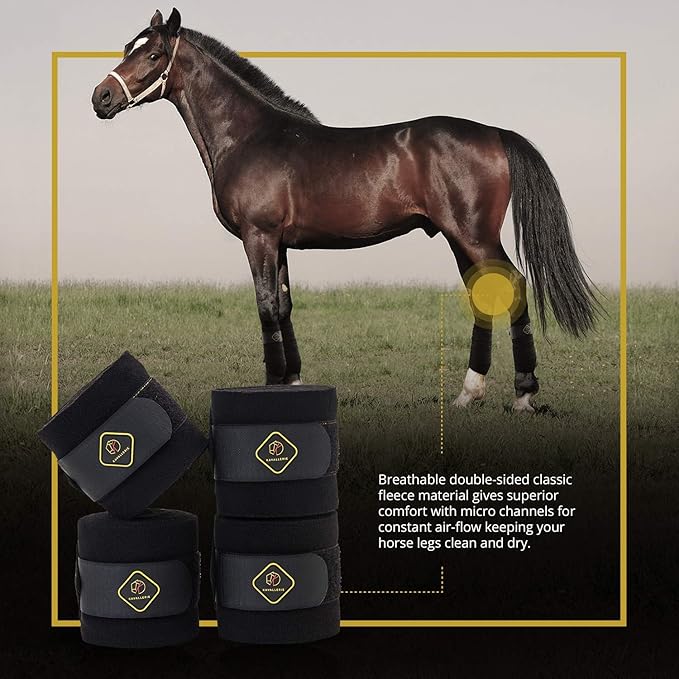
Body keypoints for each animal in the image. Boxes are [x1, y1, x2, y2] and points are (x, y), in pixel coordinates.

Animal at [92, 8, 598, 413]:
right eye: (128, 47)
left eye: (154, 55)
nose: (101, 97)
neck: (250, 136)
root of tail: (495, 133)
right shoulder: (279, 244)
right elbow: (284, 305)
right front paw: (293, 383)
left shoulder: (259, 237)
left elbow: (266, 306)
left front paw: (271, 388)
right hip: (460, 238)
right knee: (484, 294)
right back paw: (468, 394)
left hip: (474, 235)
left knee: (512, 287)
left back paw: (523, 394)